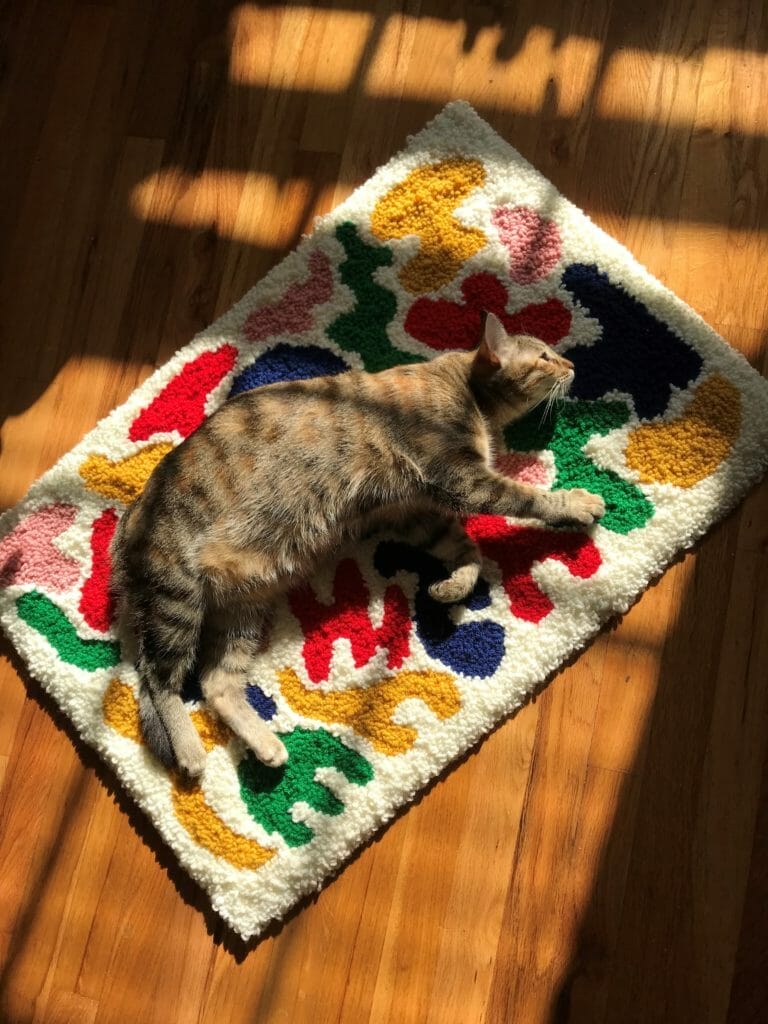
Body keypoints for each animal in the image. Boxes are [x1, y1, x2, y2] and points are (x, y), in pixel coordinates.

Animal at [111, 311, 606, 774]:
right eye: (544, 356)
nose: (572, 364)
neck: (467, 389)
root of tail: (129, 520)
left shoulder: (413, 513)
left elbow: (467, 550)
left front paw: (453, 585)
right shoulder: (462, 479)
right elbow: (528, 499)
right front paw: (576, 503)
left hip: (242, 609)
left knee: (216, 682)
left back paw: (265, 744)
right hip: (177, 601)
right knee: (158, 681)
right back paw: (190, 751)